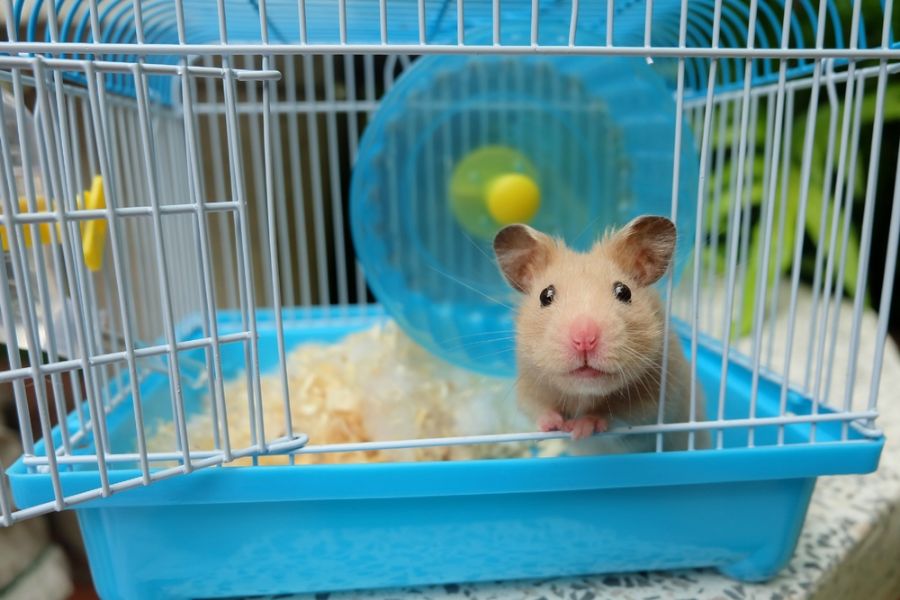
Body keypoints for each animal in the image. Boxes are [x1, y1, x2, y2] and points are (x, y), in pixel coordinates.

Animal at [493, 215, 710, 454]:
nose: (584, 339)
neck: (585, 394)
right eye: (545, 295)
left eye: (624, 291)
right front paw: (555, 425)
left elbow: (612, 415)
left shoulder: (653, 402)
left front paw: (579, 428)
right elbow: (538, 409)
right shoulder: (529, 386)